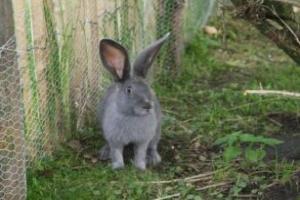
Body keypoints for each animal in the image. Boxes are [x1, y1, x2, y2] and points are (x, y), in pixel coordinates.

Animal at [97, 33, 170, 170]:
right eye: (129, 90)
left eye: (149, 88)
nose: (147, 106)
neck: (131, 116)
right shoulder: (114, 140)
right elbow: (116, 153)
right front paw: (118, 167)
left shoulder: (143, 141)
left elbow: (140, 152)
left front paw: (140, 167)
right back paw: (104, 152)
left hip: (157, 132)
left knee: (153, 145)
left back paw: (153, 158)